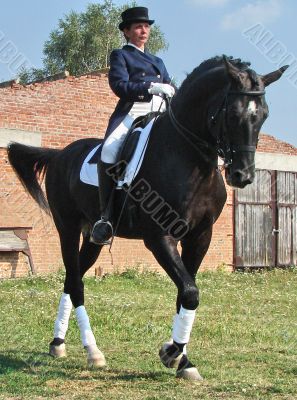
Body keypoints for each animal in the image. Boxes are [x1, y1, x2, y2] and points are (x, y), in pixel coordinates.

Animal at [6, 57, 286, 382]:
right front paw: (172, 352)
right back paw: (93, 351)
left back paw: (58, 343)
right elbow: (190, 292)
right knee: (75, 284)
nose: (243, 176)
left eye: (263, 115)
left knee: (70, 280)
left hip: (93, 237)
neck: (187, 158)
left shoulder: (200, 237)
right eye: (232, 113)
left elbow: (185, 293)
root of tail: (60, 155)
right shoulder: (160, 238)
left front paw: (181, 359)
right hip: (68, 229)